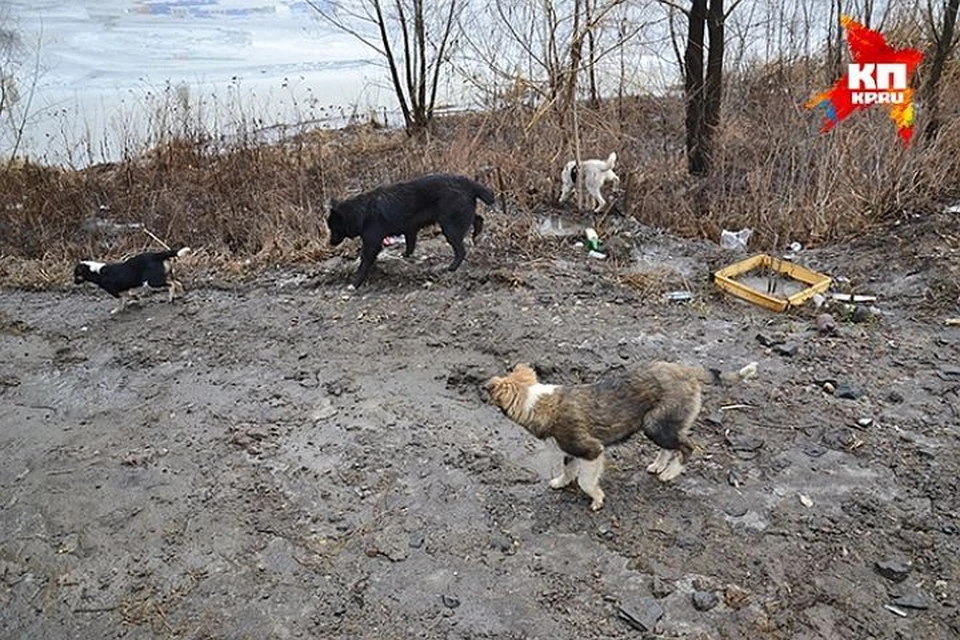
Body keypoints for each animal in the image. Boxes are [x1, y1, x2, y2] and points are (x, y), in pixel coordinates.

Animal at [328, 174, 496, 286]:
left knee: (461, 250)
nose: (330, 243)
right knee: (478, 218)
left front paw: (355, 282)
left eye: (333, 228)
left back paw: (453, 266)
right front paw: (406, 255)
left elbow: (365, 260)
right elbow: (410, 243)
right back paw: (476, 233)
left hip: (449, 227)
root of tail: (467, 183)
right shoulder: (409, 229)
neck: (361, 212)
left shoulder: (372, 241)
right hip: (460, 215)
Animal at [488, 360, 756, 510]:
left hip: (656, 424)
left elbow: (586, 481)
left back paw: (669, 473)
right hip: (660, 425)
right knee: (671, 446)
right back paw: (658, 466)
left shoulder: (591, 450)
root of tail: (687, 371)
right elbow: (568, 468)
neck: (537, 401)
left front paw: (597, 500)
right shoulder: (571, 449)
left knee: (687, 447)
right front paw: (560, 483)